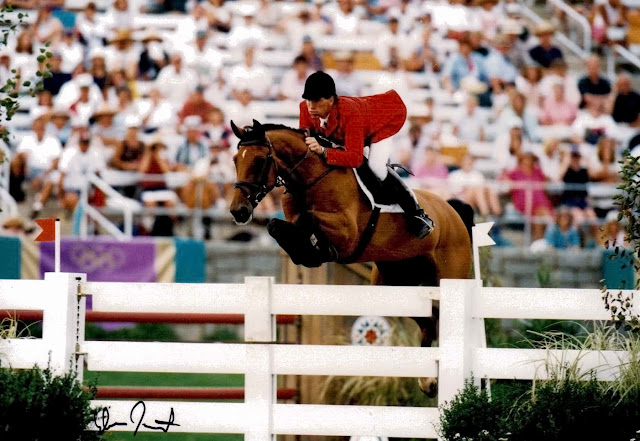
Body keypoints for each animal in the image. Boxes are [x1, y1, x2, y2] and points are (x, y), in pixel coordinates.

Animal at [228, 120, 472, 396]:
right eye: (236, 159)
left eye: (260, 160)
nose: (238, 211)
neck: (310, 179)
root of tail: (452, 211)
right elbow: (277, 225)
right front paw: (308, 252)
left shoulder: (347, 233)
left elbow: (307, 220)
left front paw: (317, 248)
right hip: (396, 285)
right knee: (429, 320)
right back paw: (428, 381)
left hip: (449, 274)